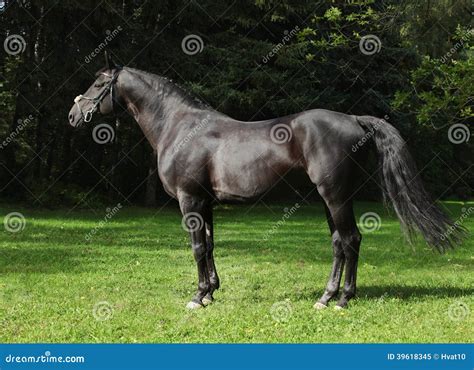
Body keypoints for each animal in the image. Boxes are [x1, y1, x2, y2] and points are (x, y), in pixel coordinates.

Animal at [67, 55, 462, 310]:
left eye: (99, 83)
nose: (73, 114)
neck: (181, 127)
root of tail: (354, 118)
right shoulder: (205, 203)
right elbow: (210, 246)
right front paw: (211, 292)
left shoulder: (189, 200)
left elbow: (196, 248)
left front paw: (197, 297)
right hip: (329, 199)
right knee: (339, 243)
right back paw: (326, 297)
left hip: (336, 197)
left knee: (351, 240)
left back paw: (343, 300)